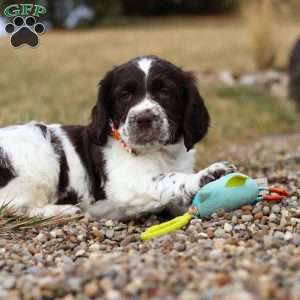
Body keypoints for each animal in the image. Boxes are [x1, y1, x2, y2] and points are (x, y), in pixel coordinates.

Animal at [0, 56, 236, 219]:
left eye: (164, 92)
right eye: (124, 95)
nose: (143, 118)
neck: (159, 153)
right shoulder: (125, 183)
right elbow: (169, 178)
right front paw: (208, 174)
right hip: (40, 156)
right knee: (13, 207)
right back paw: (63, 211)